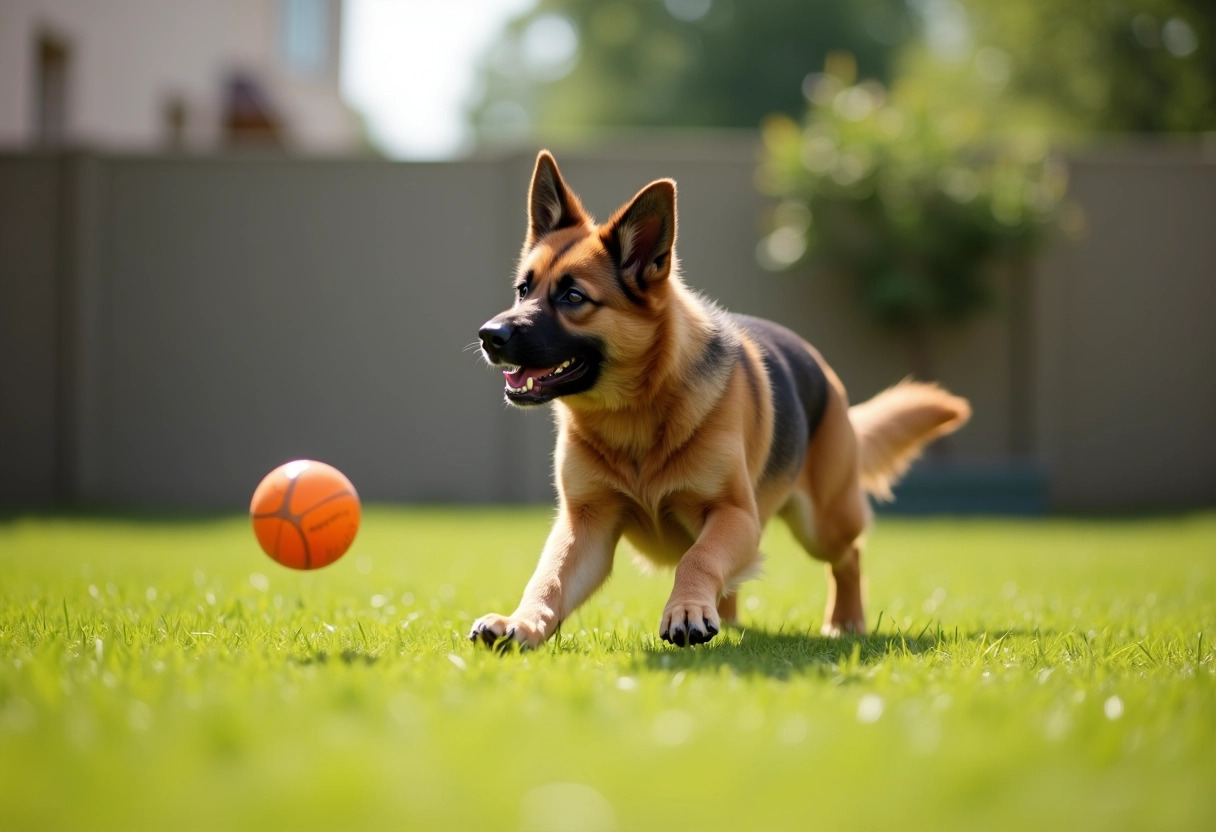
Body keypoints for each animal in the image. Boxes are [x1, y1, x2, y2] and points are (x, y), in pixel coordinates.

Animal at [464, 154, 967, 651]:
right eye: (523, 290)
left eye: (573, 297)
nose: (489, 335)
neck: (637, 416)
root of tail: (823, 370)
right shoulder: (585, 525)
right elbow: (548, 580)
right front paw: (521, 623)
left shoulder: (734, 515)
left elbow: (698, 558)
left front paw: (685, 609)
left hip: (824, 524)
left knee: (849, 555)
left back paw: (844, 620)